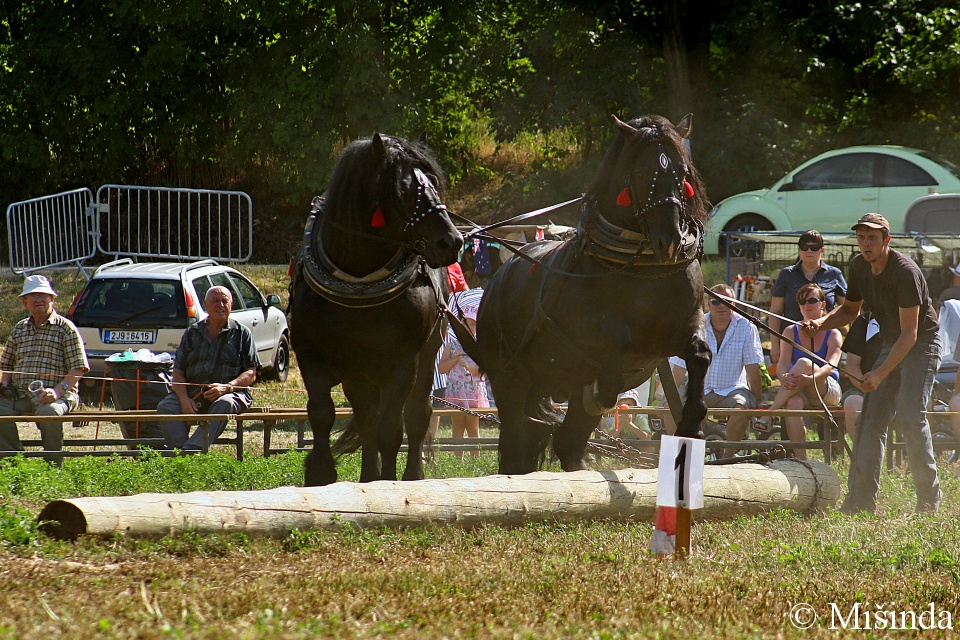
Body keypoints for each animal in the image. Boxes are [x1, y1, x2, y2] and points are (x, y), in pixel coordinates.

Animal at [288, 135, 462, 484]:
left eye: (434, 183)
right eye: (404, 190)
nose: (451, 241)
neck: (358, 281)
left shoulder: (403, 363)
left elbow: (392, 429)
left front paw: (389, 481)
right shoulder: (310, 355)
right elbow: (322, 414)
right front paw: (321, 472)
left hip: (427, 356)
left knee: (416, 414)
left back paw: (412, 474)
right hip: (360, 369)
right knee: (366, 414)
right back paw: (368, 475)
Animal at [456, 115, 712, 476]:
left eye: (683, 173)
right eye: (642, 173)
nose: (671, 240)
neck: (644, 269)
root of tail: (496, 281)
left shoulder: (684, 323)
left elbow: (700, 355)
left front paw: (692, 426)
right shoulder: (586, 326)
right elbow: (618, 337)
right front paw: (602, 390)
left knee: (565, 442)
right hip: (509, 378)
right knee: (517, 444)